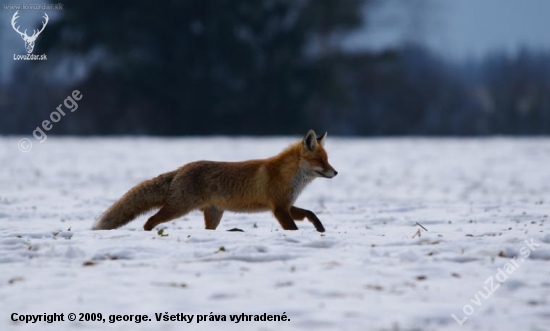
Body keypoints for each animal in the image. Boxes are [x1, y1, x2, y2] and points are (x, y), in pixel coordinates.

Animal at [92, 130, 338, 233]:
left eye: (327, 159)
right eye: (321, 160)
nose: (335, 173)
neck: (288, 176)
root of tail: (182, 168)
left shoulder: (285, 205)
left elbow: (310, 213)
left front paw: (319, 227)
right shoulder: (278, 208)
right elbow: (293, 228)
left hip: (214, 215)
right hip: (178, 208)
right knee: (150, 220)